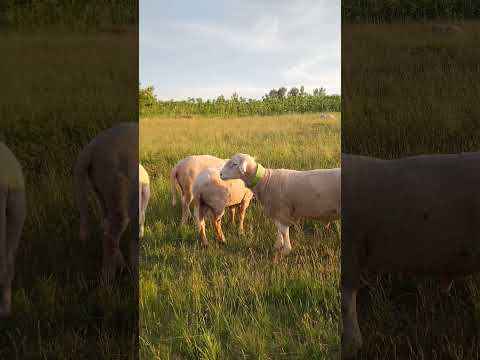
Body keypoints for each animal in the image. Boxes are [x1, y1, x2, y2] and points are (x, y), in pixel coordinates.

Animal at [74, 121, 139, 282]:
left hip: (103, 190)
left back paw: (122, 267)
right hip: (117, 189)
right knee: (111, 235)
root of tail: (90, 150)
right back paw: (108, 279)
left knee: (106, 225)